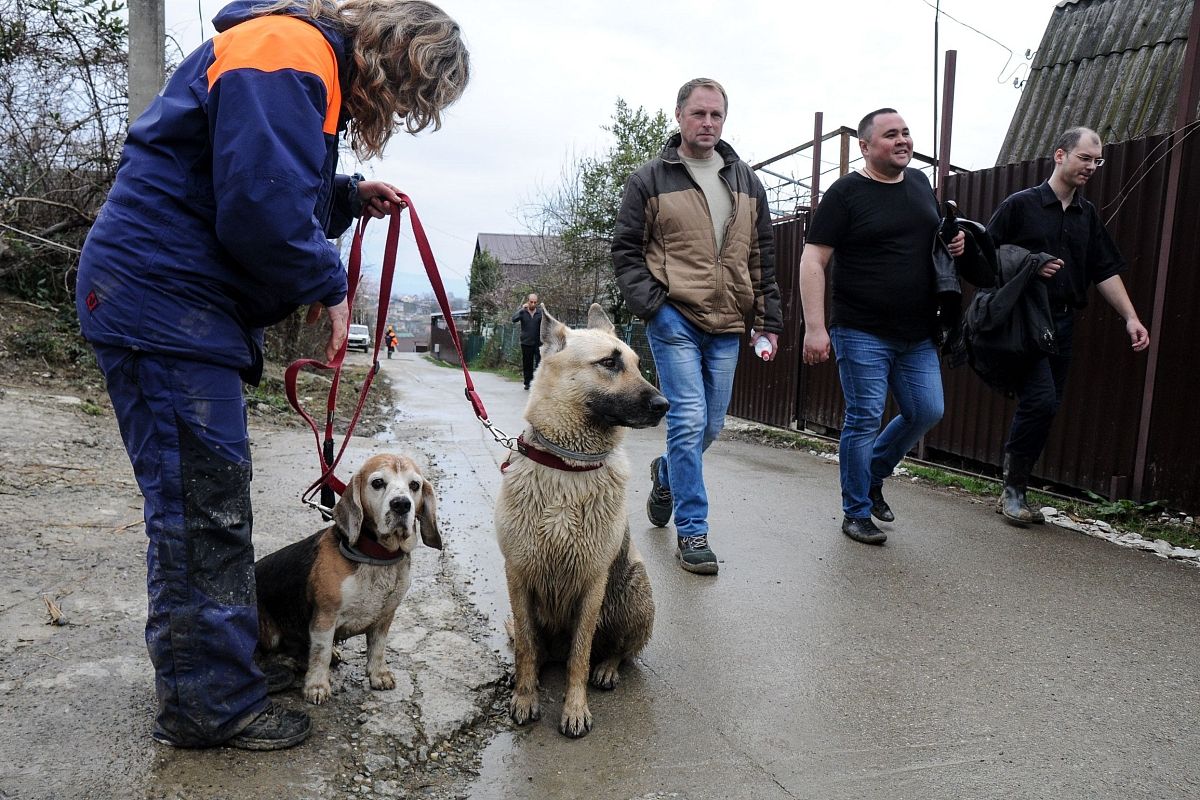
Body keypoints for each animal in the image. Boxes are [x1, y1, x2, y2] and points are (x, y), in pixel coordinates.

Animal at [256, 453, 441, 705]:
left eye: (415, 485)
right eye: (377, 483)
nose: (402, 504)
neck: (375, 557)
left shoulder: (385, 616)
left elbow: (378, 648)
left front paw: (378, 674)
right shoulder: (325, 617)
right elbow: (320, 654)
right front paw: (317, 686)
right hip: (267, 631)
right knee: (264, 655)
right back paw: (290, 661)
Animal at [494, 304, 667, 738]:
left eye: (638, 364)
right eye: (609, 363)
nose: (665, 405)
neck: (568, 465)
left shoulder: (592, 584)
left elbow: (581, 654)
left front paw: (575, 707)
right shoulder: (517, 575)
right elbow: (525, 647)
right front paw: (525, 696)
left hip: (634, 588)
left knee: (620, 650)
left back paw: (606, 669)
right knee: (533, 647)